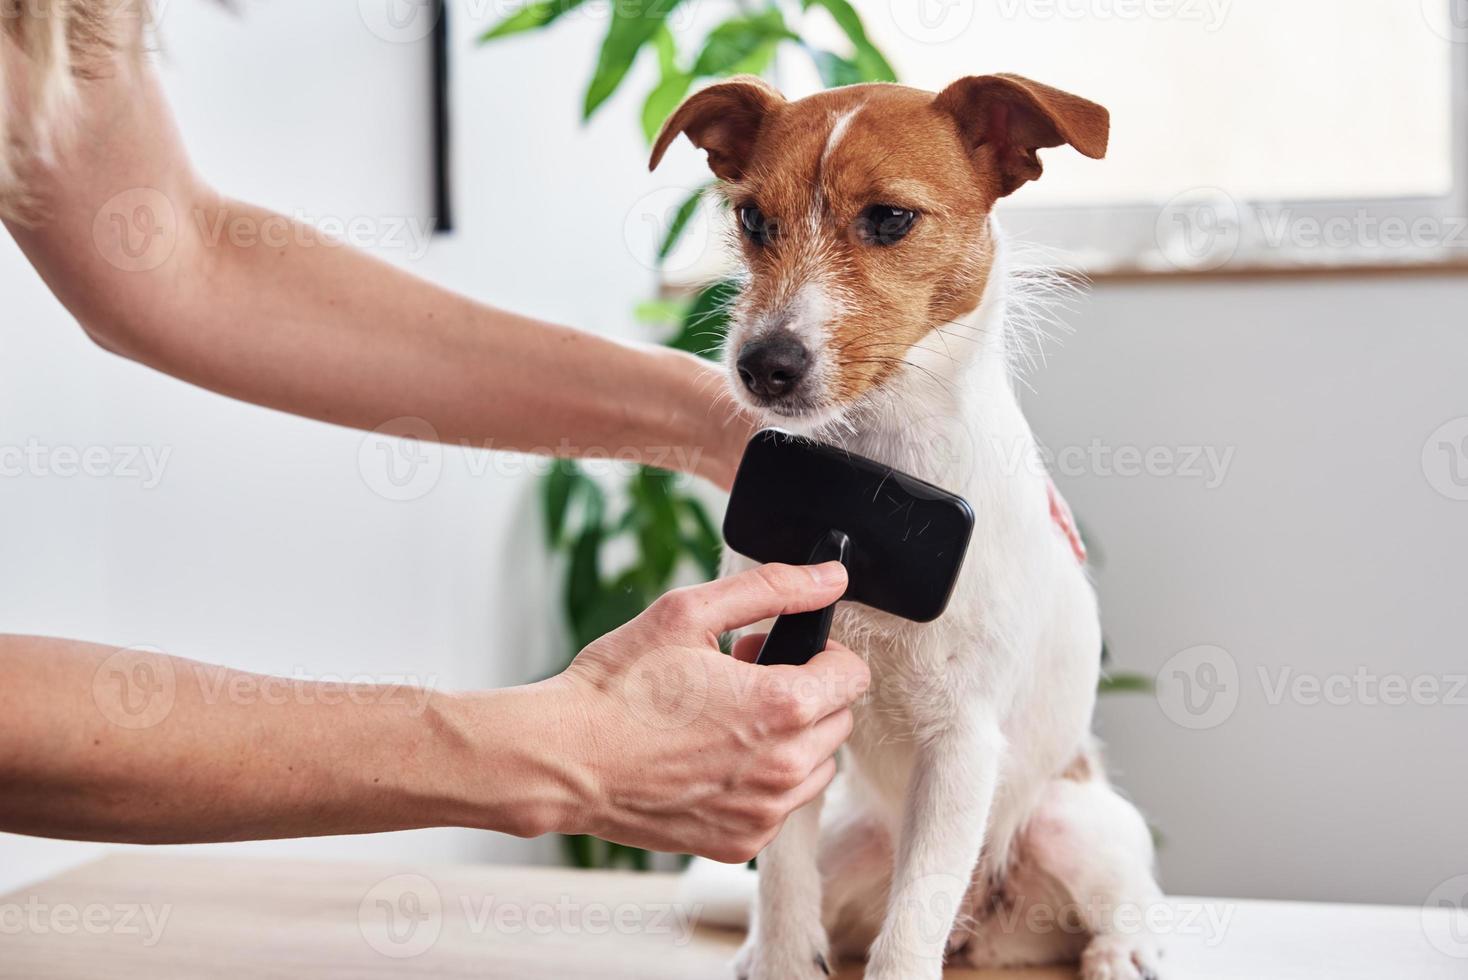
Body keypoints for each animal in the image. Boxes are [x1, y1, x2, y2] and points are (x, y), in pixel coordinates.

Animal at [648, 72, 1162, 974]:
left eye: (889, 218)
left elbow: (910, 928)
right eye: (753, 219)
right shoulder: (786, 708)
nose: (762, 365)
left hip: (1071, 823)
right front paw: (779, 958)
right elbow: (782, 885)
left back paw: (1122, 952)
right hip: (851, 839)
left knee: (1119, 898)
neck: (872, 468)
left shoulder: (962, 742)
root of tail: (986, 927)